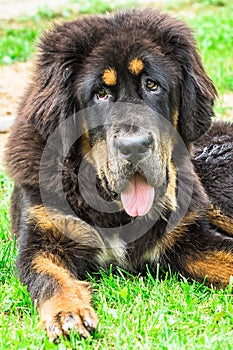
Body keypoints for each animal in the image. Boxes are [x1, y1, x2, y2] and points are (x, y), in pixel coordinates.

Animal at [4, 8, 233, 342]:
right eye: (100, 94)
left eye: (152, 85)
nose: (134, 146)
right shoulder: (42, 241)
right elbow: (50, 277)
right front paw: (67, 313)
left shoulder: (190, 237)